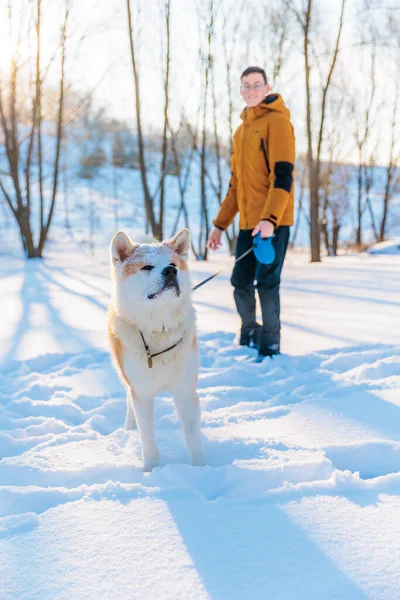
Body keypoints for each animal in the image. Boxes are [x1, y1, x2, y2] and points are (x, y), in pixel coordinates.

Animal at [108, 227, 205, 472]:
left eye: (173, 263)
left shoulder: (185, 391)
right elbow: (148, 440)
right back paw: (128, 428)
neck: (159, 329)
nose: (170, 271)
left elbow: (193, 439)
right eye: (147, 267)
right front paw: (150, 471)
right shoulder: (141, 393)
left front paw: (201, 471)